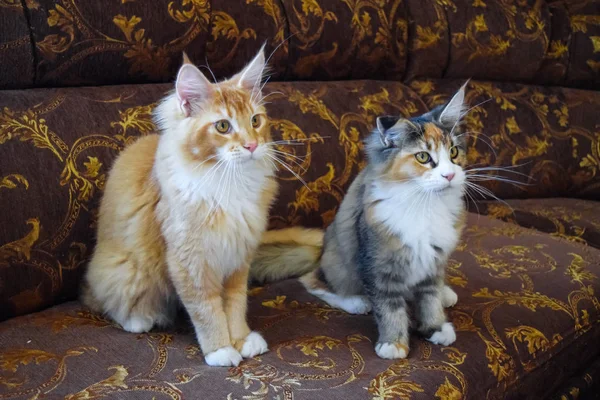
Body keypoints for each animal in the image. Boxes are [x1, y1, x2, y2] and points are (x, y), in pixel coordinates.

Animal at [81, 48, 276, 368]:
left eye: (256, 121)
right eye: (223, 126)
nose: (251, 145)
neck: (228, 181)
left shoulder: (238, 256)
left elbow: (235, 304)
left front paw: (242, 338)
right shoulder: (189, 260)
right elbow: (207, 309)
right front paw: (220, 349)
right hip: (127, 270)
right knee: (111, 301)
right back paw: (140, 320)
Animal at [252, 84, 468, 360]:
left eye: (454, 153)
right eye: (423, 157)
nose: (450, 175)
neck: (425, 205)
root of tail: (320, 250)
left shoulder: (432, 261)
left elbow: (429, 299)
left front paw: (435, 327)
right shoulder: (378, 263)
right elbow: (389, 307)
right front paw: (394, 344)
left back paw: (445, 293)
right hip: (340, 260)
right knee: (314, 281)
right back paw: (356, 302)